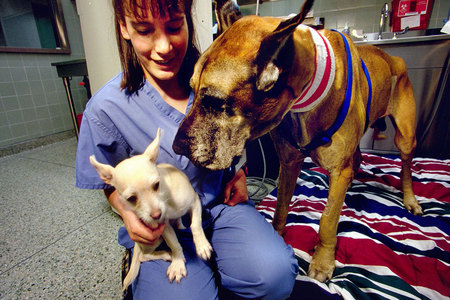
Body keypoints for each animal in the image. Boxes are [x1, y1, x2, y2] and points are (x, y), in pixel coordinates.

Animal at [90, 127, 214, 290]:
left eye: (156, 185)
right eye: (131, 199)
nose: (156, 215)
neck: (167, 200)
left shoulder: (195, 201)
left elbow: (196, 225)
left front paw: (201, 245)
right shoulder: (163, 228)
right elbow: (174, 244)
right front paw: (178, 262)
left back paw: (180, 225)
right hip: (154, 239)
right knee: (143, 256)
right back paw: (165, 254)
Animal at [172, 0, 422, 282]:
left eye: (215, 102)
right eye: (191, 89)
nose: (176, 146)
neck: (307, 96)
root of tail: (393, 57)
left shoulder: (338, 170)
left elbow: (328, 219)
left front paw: (323, 261)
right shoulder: (289, 163)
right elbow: (281, 206)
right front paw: (278, 235)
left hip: (405, 136)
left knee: (405, 166)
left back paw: (410, 199)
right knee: (357, 159)